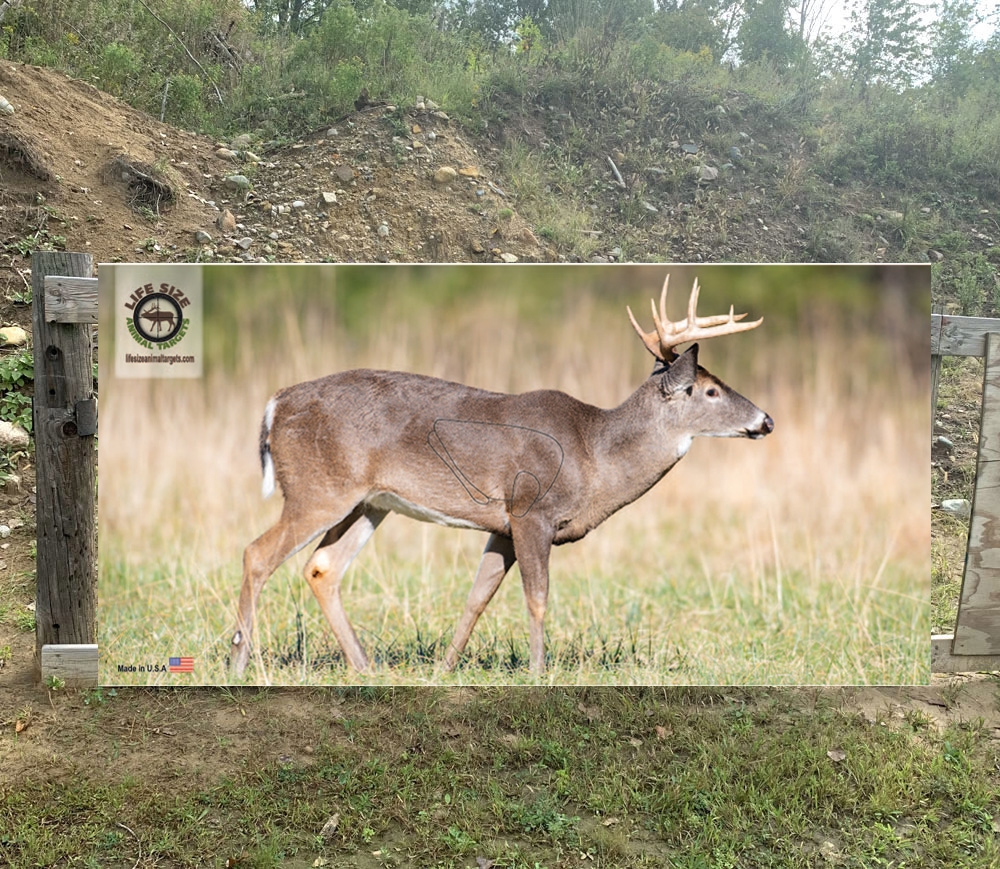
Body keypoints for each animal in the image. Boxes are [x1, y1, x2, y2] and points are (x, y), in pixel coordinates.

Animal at [229, 275, 773, 678]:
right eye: (710, 391)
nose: (766, 420)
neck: (595, 454)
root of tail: (275, 404)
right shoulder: (532, 510)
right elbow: (538, 598)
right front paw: (538, 671)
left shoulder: (503, 527)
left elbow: (477, 598)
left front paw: (445, 669)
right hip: (318, 489)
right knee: (257, 553)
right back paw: (239, 659)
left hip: (369, 502)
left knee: (322, 567)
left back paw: (364, 666)